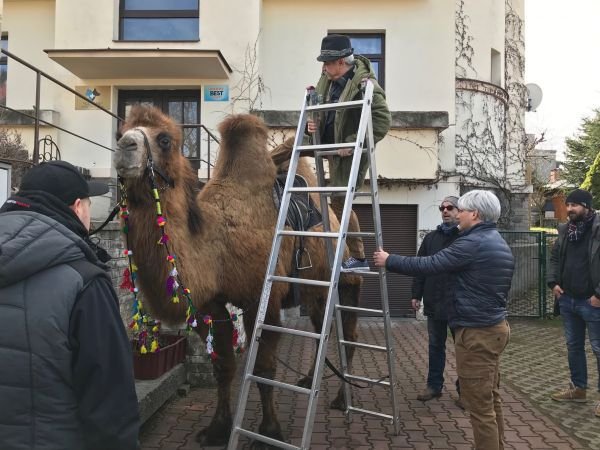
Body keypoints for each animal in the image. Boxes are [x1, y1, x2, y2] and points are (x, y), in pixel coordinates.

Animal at [115, 105, 364, 446]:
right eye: (120, 130)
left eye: (164, 139)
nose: (123, 146)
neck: (217, 242)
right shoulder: (210, 304)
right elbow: (223, 366)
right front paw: (217, 429)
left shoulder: (262, 297)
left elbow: (263, 369)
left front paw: (268, 432)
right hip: (315, 288)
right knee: (318, 327)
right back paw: (307, 379)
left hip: (347, 276)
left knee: (348, 331)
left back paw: (341, 398)